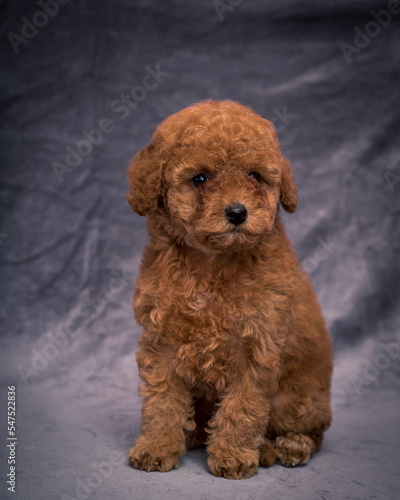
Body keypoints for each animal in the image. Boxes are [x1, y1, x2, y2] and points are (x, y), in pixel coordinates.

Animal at [126, 99, 332, 478]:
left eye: (254, 176)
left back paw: (285, 447)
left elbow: (243, 407)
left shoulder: (256, 345)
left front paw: (233, 455)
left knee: (309, 431)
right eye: (200, 178)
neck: (211, 264)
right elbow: (162, 401)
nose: (237, 212)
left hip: (300, 399)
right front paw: (157, 446)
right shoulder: (161, 342)